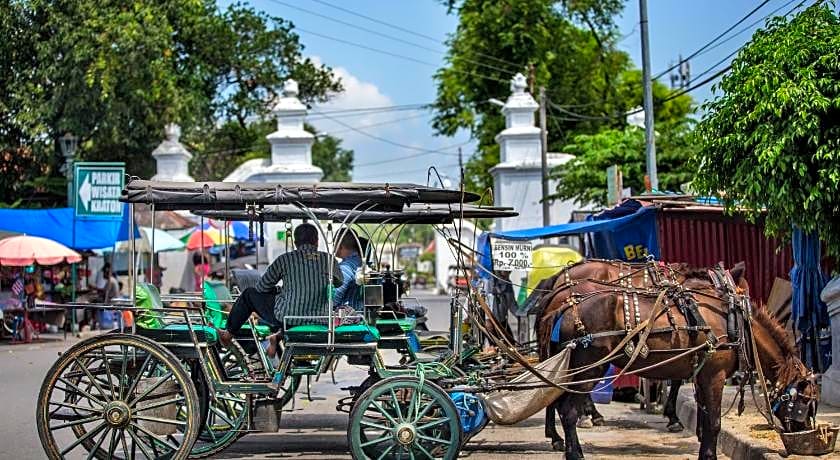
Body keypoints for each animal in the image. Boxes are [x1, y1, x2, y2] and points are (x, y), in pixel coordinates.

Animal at [540, 272, 820, 458]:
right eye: (806, 400)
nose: (805, 432)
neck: (735, 321)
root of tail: (564, 307)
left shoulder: (703, 375)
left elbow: (705, 418)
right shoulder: (715, 376)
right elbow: (714, 422)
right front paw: (709, 455)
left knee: (559, 405)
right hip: (589, 369)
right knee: (568, 411)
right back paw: (574, 452)